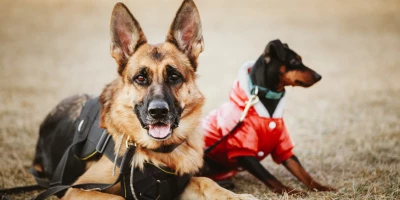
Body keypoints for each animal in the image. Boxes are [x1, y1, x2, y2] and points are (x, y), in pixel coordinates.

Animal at [203, 39, 338, 195]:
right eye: (294, 61)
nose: (319, 76)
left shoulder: (283, 147)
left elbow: (301, 171)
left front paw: (321, 187)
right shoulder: (243, 152)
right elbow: (270, 177)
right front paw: (291, 191)